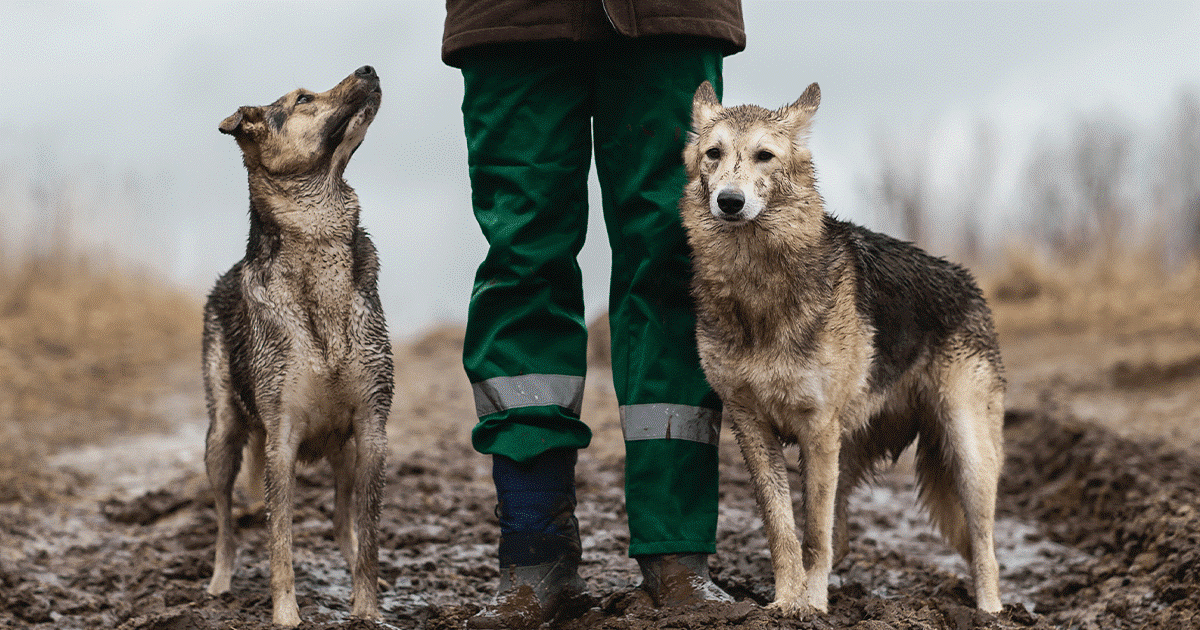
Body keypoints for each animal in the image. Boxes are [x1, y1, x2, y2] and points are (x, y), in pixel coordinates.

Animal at [204, 65, 391, 624]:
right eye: (304, 98)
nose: (369, 68)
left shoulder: (372, 428)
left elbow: (370, 536)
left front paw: (367, 610)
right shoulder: (280, 440)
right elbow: (280, 543)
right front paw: (285, 615)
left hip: (346, 454)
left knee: (344, 521)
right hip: (221, 437)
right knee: (225, 522)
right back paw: (219, 581)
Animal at [681, 79, 1008, 614]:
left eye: (764, 156)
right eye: (715, 154)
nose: (729, 201)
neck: (758, 288)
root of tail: (969, 282)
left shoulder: (815, 429)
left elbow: (813, 535)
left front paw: (811, 608)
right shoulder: (751, 425)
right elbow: (782, 531)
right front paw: (785, 605)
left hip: (967, 455)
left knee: (984, 546)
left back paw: (992, 614)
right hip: (850, 452)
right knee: (845, 536)